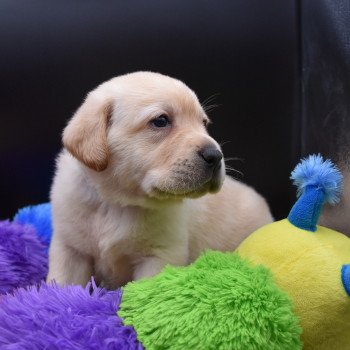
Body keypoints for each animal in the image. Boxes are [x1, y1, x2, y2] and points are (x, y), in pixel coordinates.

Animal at [47, 71, 274, 288]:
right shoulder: (70, 249)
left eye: (204, 123)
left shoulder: (159, 256)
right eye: (161, 121)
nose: (216, 156)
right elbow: (62, 284)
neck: (116, 202)